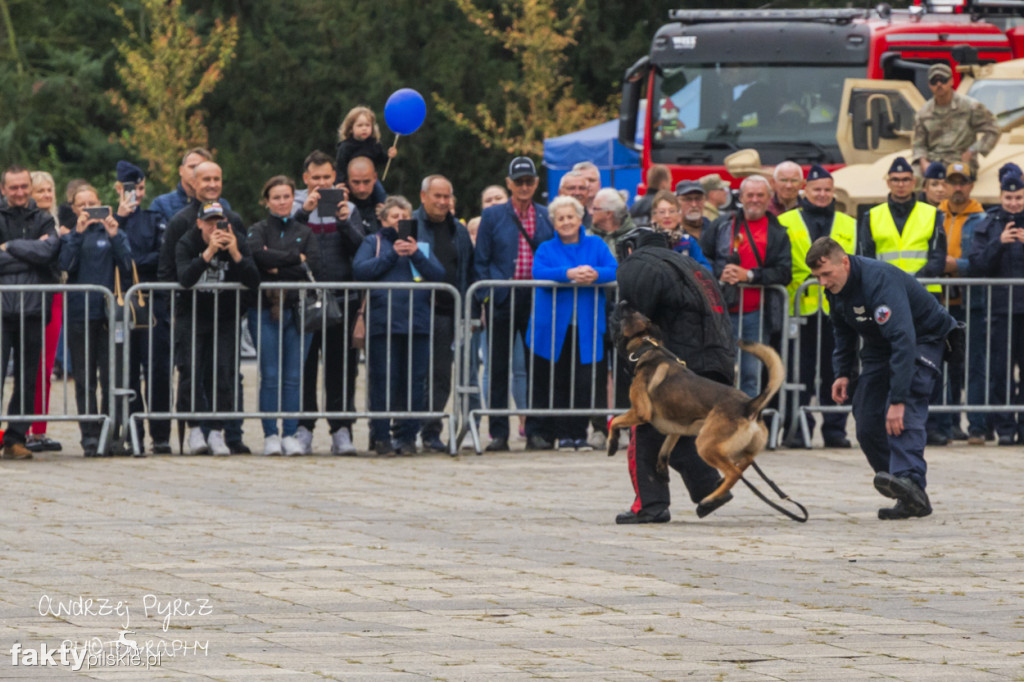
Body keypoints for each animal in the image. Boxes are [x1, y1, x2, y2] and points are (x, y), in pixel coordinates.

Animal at [606, 305, 782, 512]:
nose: (622, 302)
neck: (646, 348)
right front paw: (662, 470)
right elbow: (664, 450)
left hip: (706, 445)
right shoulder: (677, 428)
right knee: (744, 463)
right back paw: (719, 485)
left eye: (623, 316)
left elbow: (615, 421)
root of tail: (749, 405)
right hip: (734, 448)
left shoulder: (640, 412)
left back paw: (711, 498)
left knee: (735, 473)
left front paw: (612, 443)